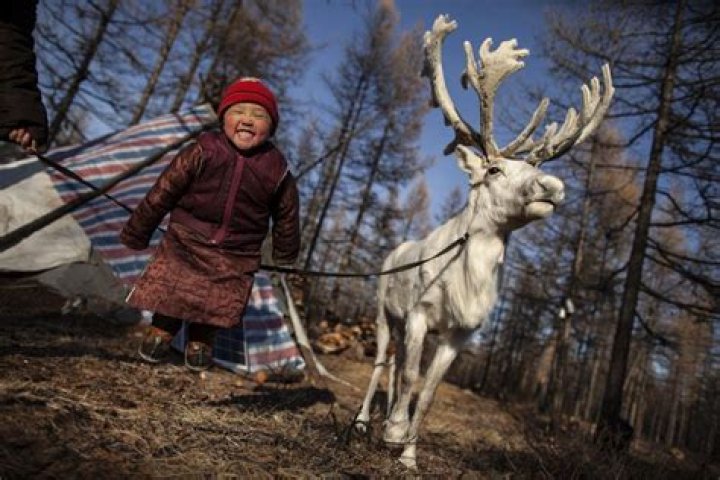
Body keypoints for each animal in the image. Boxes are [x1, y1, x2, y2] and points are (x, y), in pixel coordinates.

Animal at [355, 14, 614, 470]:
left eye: (534, 169)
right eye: (493, 169)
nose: (553, 186)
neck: (467, 280)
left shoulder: (460, 333)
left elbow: (429, 391)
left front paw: (409, 455)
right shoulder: (419, 312)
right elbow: (411, 376)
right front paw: (395, 432)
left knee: (398, 363)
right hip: (386, 313)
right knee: (383, 362)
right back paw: (365, 422)